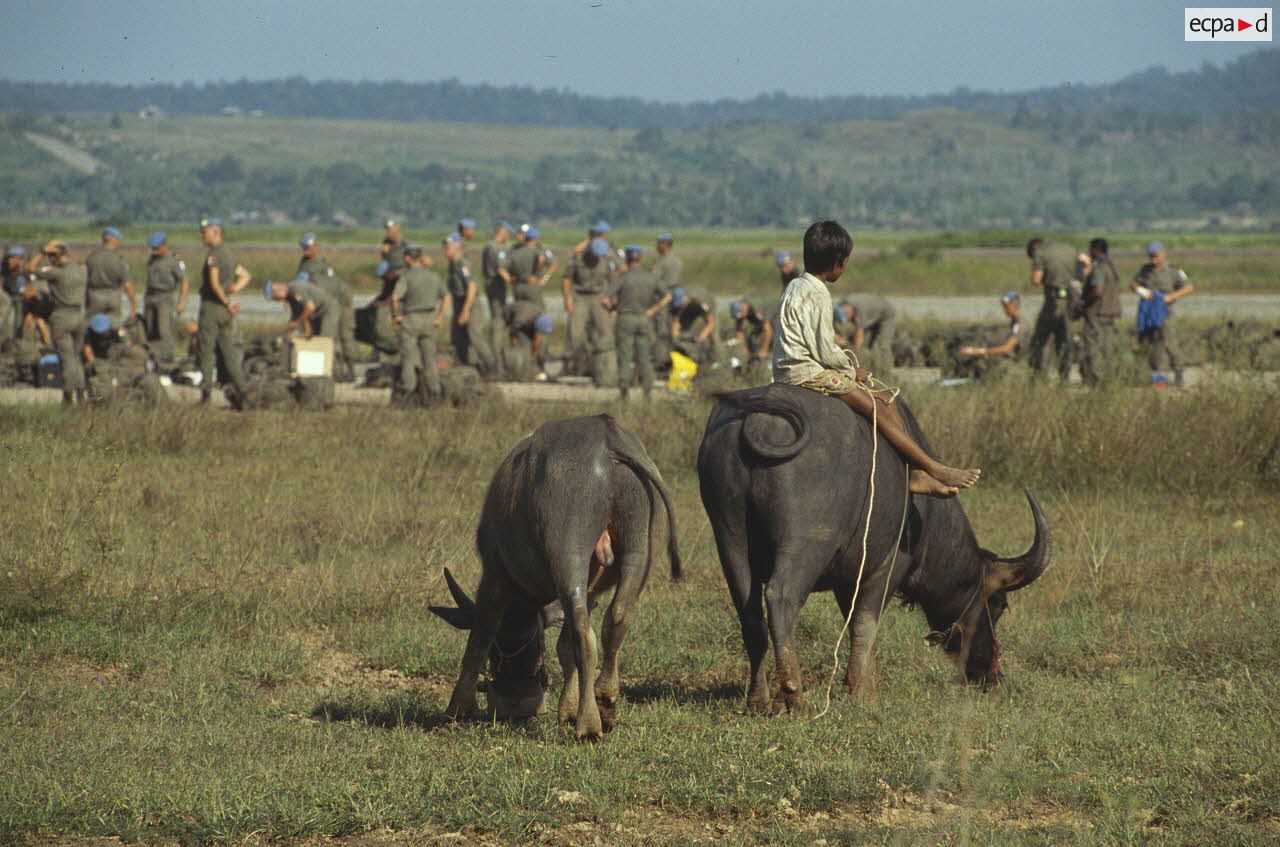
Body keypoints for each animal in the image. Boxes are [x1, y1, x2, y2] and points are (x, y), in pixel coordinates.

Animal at [430, 414, 680, 742]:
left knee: (584, 634)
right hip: (638, 544)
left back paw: (589, 724)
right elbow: (563, 646)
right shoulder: (590, 590)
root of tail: (607, 436)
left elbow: (479, 637)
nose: (516, 699)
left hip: (569, 553)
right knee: (617, 618)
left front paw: (457, 708)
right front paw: (568, 709)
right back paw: (604, 701)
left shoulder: (494, 575)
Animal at [701, 388, 1049, 711]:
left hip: (729, 538)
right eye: (998, 605)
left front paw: (864, 679)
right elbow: (865, 621)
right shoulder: (887, 565)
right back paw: (793, 694)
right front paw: (862, 692)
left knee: (750, 614)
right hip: (806, 542)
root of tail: (757, 418)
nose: (990, 676)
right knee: (781, 597)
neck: (925, 517)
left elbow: (855, 622)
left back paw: (757, 700)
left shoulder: (849, 578)